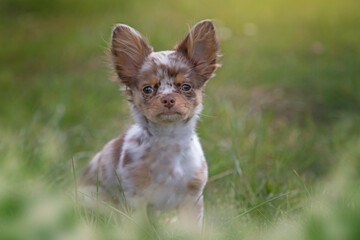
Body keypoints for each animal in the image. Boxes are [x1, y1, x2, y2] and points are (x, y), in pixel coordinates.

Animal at [78, 19, 219, 226]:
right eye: (147, 89)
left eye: (186, 87)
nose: (168, 99)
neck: (169, 141)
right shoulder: (135, 197)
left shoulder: (192, 197)